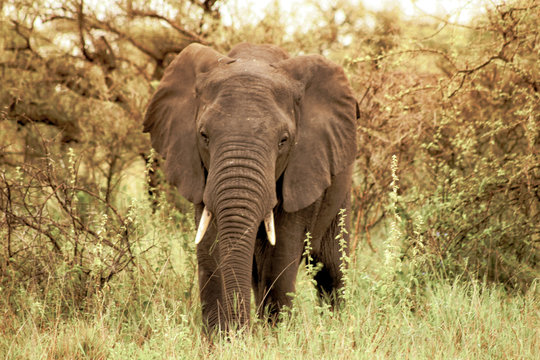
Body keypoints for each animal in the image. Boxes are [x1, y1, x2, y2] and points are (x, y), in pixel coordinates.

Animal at [142, 42, 358, 332]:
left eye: (283, 141)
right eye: (203, 135)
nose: (242, 330)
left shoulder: (304, 170)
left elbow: (280, 256)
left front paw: (276, 335)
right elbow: (210, 248)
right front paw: (219, 336)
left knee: (332, 269)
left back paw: (337, 327)